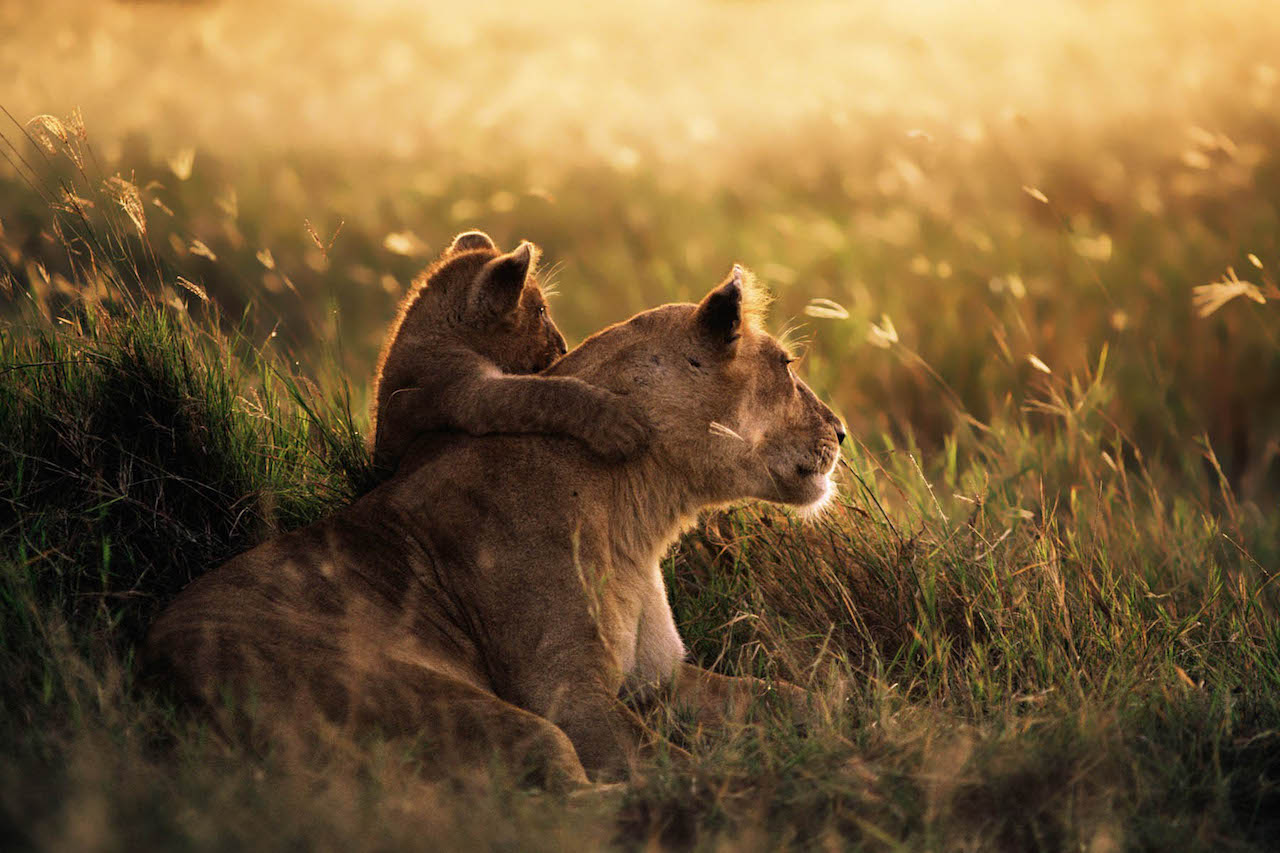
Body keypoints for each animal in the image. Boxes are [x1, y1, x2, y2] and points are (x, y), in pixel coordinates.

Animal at [145, 264, 845, 788]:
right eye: (787, 365)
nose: (841, 431)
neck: (640, 512)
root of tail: (155, 672)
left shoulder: (661, 680)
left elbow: (799, 696)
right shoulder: (565, 692)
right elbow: (667, 765)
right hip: (454, 705)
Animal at [370, 230, 648, 470]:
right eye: (541, 311)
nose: (564, 347)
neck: (442, 332)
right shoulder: (462, 391)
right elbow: (544, 393)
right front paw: (616, 422)